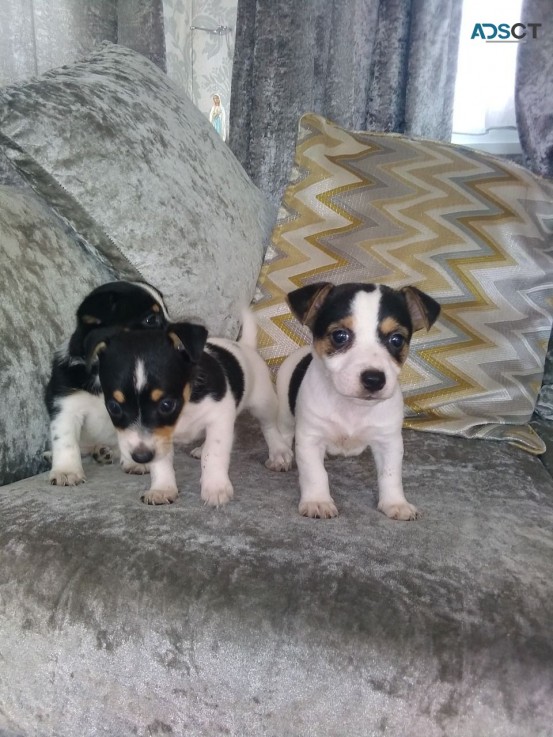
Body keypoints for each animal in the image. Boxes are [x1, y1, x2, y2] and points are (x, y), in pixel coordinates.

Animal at [45, 280, 168, 484]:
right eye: (151, 319)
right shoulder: (66, 408)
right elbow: (65, 442)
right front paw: (67, 471)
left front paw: (134, 463)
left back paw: (105, 452)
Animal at [89, 310, 294, 506]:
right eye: (114, 407)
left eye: (166, 404)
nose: (141, 457)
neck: (185, 404)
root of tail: (244, 345)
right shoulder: (161, 437)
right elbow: (162, 462)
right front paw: (162, 488)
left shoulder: (219, 417)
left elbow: (214, 453)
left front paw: (215, 487)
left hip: (263, 403)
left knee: (269, 426)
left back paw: (279, 452)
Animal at [276, 280, 440, 516]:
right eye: (339, 336)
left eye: (397, 340)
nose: (374, 379)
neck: (353, 406)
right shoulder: (309, 438)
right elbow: (315, 473)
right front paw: (318, 501)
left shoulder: (389, 442)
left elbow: (390, 475)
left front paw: (395, 503)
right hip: (285, 413)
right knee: (282, 434)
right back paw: (279, 455)